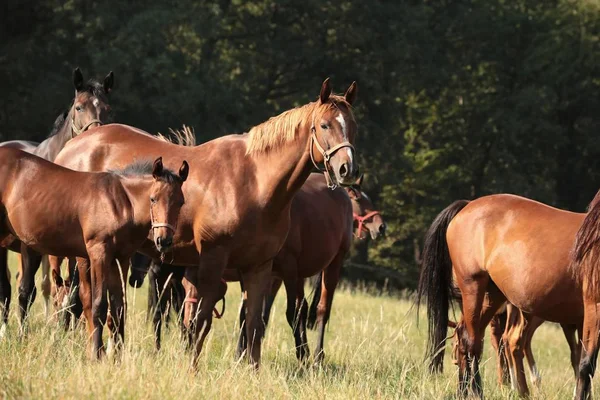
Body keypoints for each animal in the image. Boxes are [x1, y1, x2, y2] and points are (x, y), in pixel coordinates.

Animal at [0, 67, 113, 324]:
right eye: (79, 107)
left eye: (107, 108)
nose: (96, 136)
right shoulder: (30, 245)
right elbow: (29, 290)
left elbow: (72, 292)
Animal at [0, 148, 188, 356]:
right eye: (153, 199)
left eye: (181, 202)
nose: (164, 240)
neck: (120, 203)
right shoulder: (99, 253)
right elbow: (98, 303)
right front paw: (97, 353)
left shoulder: (120, 259)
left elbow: (118, 307)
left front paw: (117, 354)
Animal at [51, 79, 358, 368]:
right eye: (324, 125)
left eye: (353, 125)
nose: (348, 169)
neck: (254, 181)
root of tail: (72, 147)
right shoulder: (213, 260)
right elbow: (200, 322)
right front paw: (192, 367)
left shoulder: (260, 268)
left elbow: (253, 324)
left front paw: (251, 370)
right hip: (89, 255)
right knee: (86, 300)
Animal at [418, 193, 584, 396]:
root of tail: (468, 205)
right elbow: (578, 356)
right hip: (476, 289)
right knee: (485, 340)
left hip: (494, 298)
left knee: (482, 337)